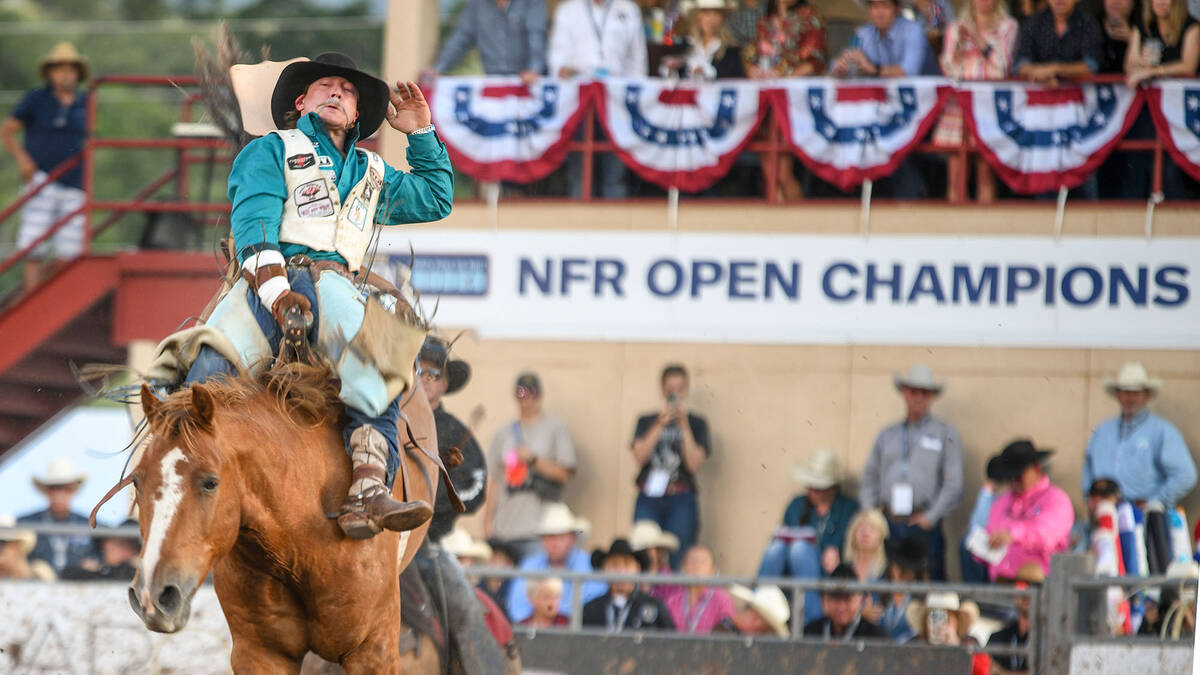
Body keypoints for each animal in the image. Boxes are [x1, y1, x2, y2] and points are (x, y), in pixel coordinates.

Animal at [121, 362, 439, 672]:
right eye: (136, 480)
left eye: (210, 482)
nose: (152, 594)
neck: (298, 546)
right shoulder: (259, 653)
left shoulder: (373, 649)